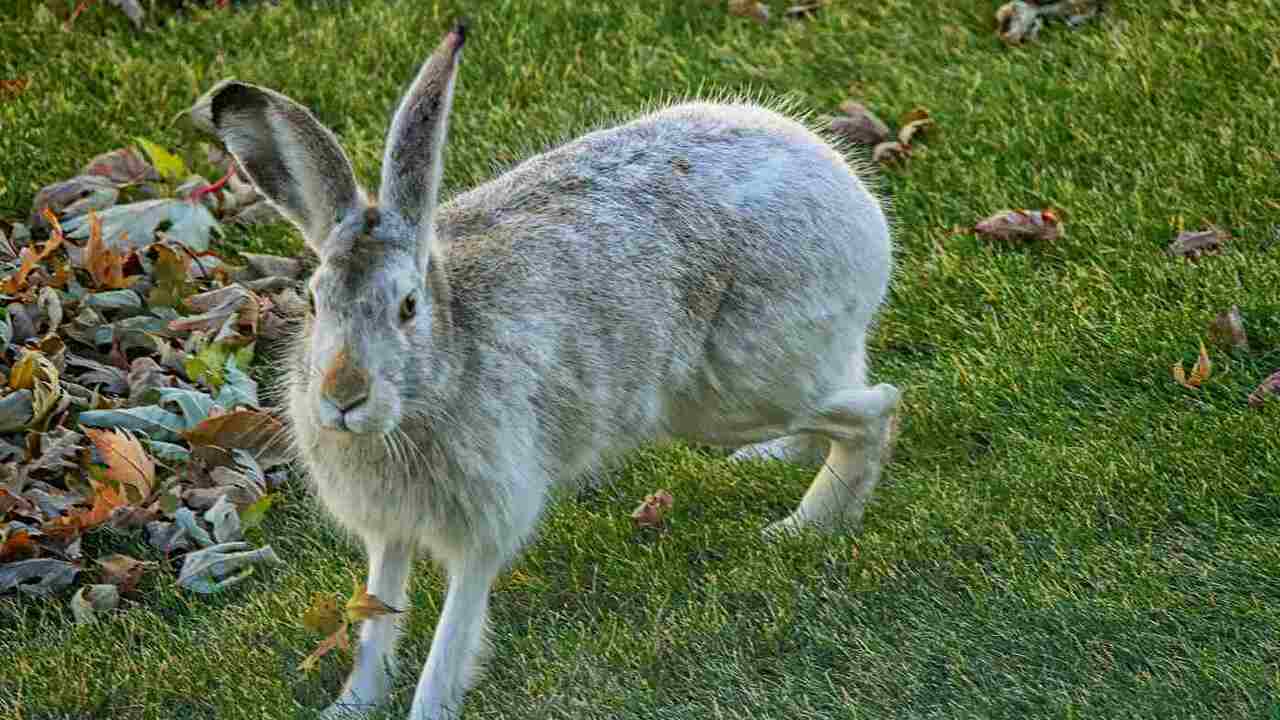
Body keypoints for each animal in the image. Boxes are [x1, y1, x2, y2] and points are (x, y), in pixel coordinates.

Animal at [198, 19, 899, 720]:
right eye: (315, 302)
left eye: (408, 307)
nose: (343, 397)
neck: (435, 377)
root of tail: (850, 194)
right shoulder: (389, 528)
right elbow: (377, 613)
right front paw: (353, 704)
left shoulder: (484, 521)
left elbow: (455, 628)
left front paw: (430, 705)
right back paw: (775, 461)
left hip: (730, 391)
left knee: (876, 408)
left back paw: (804, 525)